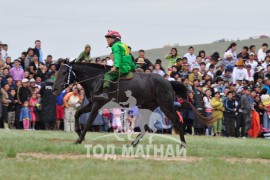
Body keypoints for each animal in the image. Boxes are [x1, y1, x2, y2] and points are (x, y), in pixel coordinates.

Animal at [52, 59, 213, 147]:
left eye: (64, 72)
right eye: (58, 71)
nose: (54, 88)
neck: (97, 78)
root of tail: (168, 82)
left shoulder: (98, 104)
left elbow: (89, 121)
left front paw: (79, 139)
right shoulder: (92, 103)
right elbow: (78, 113)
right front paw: (79, 133)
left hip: (166, 106)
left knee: (178, 124)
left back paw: (182, 146)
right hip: (147, 107)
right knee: (145, 128)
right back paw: (133, 144)